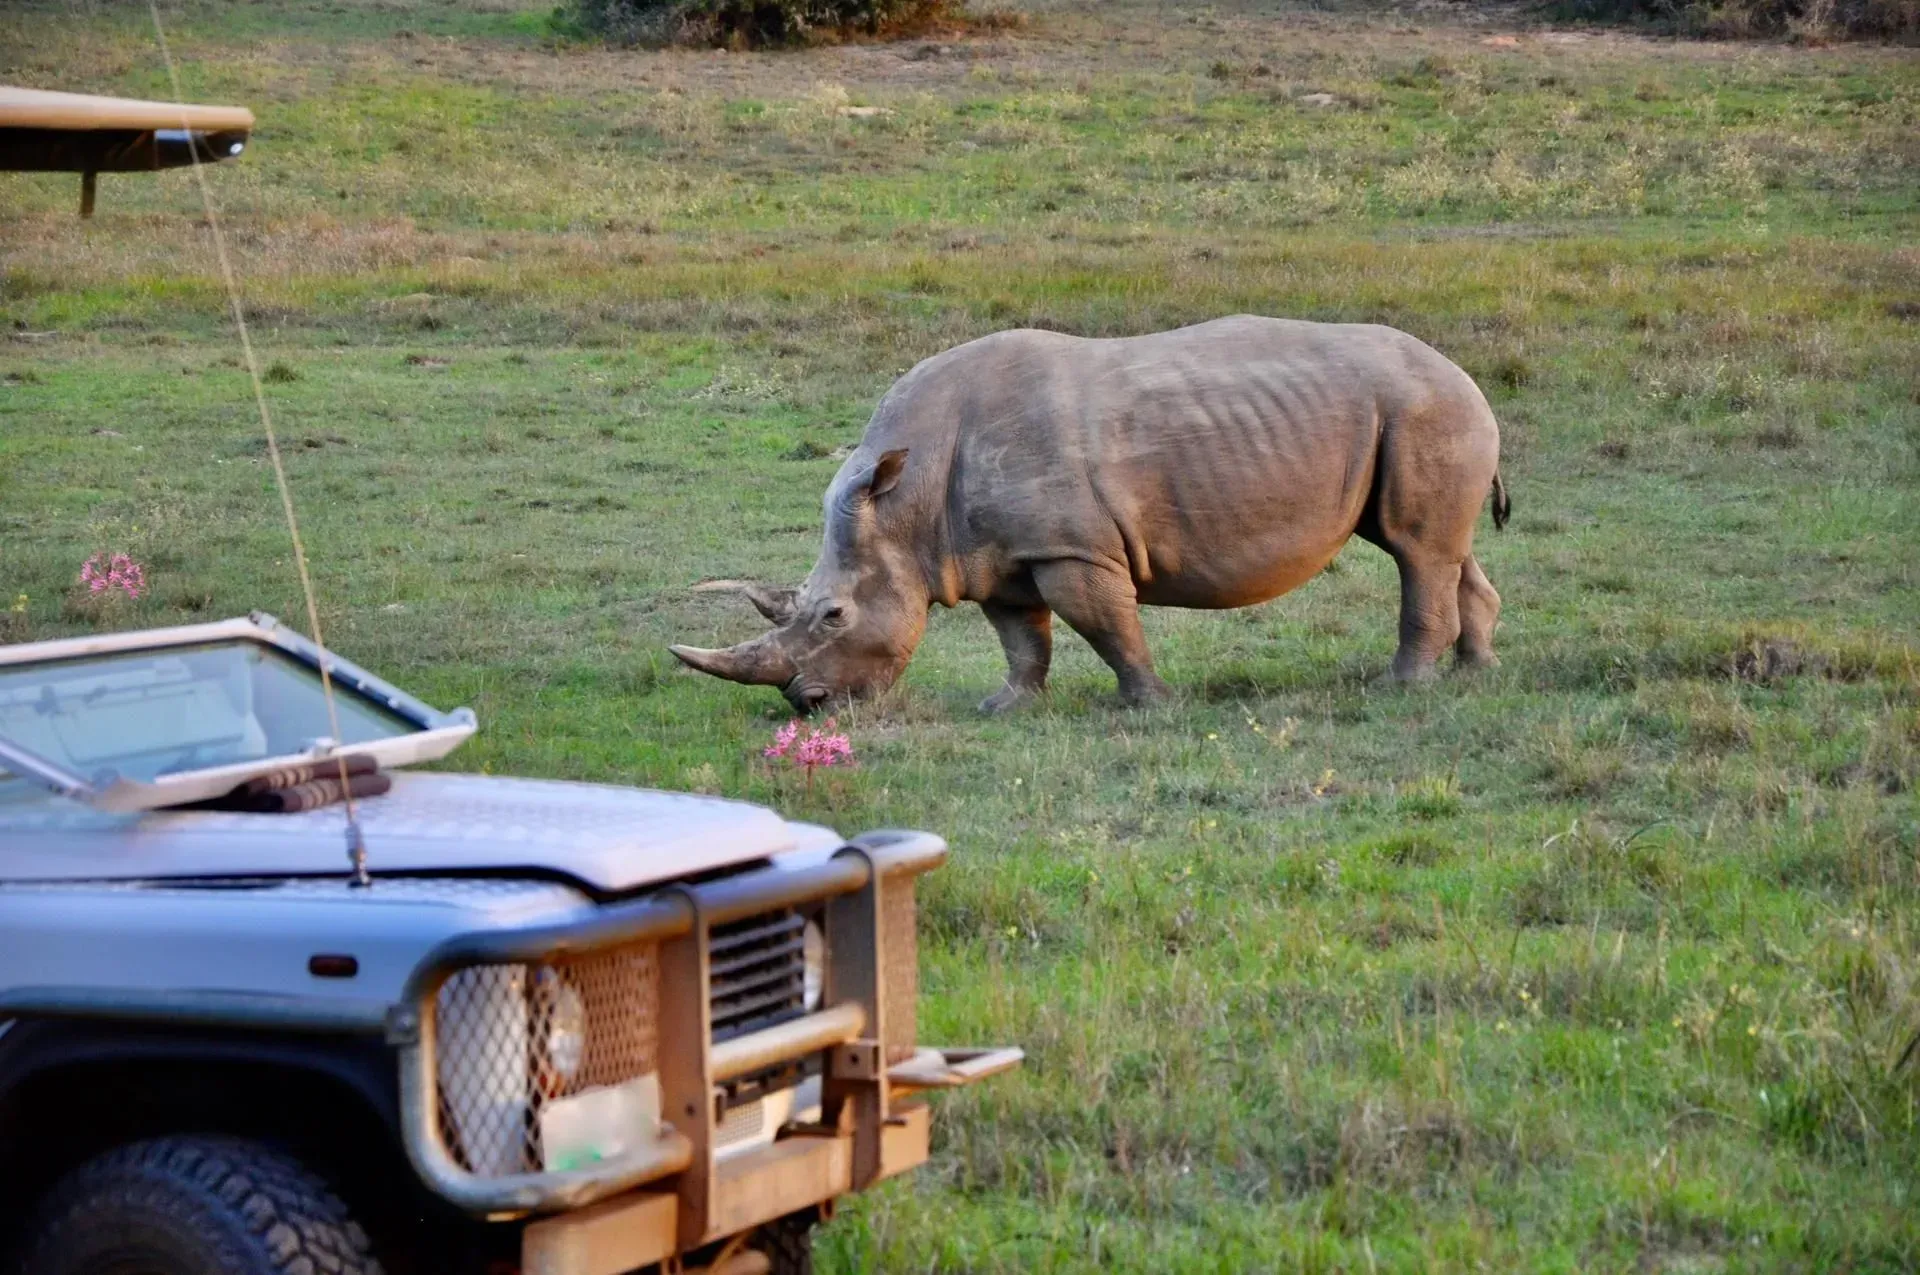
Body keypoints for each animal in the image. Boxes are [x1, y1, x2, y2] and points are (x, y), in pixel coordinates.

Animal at [671, 315, 1509, 714]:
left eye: (834, 615)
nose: (806, 705)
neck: (905, 502)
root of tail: (1462, 371)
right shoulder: (997, 554)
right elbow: (1021, 637)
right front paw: (1003, 706)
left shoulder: (1071, 548)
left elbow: (1106, 625)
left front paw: (1151, 705)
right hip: (1417, 412)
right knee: (1437, 546)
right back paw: (1474, 672)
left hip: (1425, 406)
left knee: (1414, 548)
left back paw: (1401, 687)